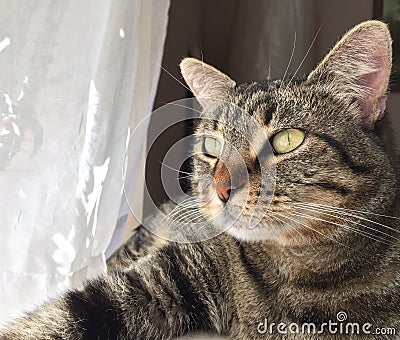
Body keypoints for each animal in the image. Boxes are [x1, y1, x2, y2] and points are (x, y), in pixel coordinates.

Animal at [0, 19, 400, 338]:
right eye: (212, 145)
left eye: (287, 140)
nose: (222, 189)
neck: (300, 272)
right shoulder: (167, 274)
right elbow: (59, 315)